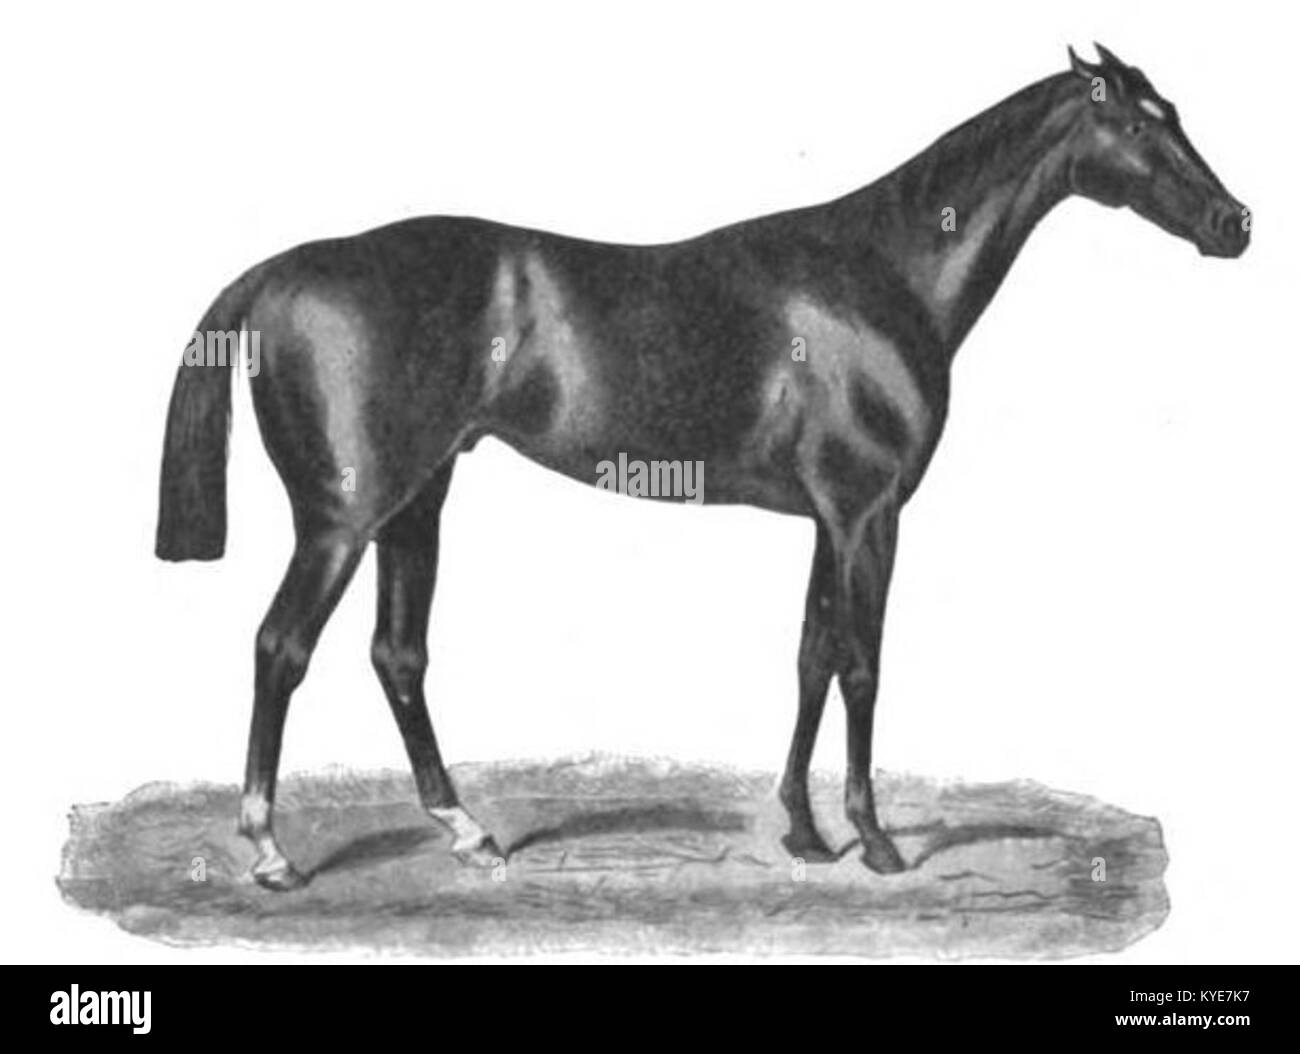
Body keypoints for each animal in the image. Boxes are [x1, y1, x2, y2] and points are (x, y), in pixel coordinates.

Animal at [156, 45, 1249, 890]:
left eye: (1175, 113)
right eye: (1140, 125)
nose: (1234, 223)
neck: (882, 272)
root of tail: (286, 269)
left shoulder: (825, 519)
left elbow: (810, 657)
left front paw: (804, 832)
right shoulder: (869, 514)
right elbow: (861, 664)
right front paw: (876, 841)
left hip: (416, 502)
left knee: (397, 655)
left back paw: (466, 832)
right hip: (342, 519)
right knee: (280, 648)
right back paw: (270, 852)